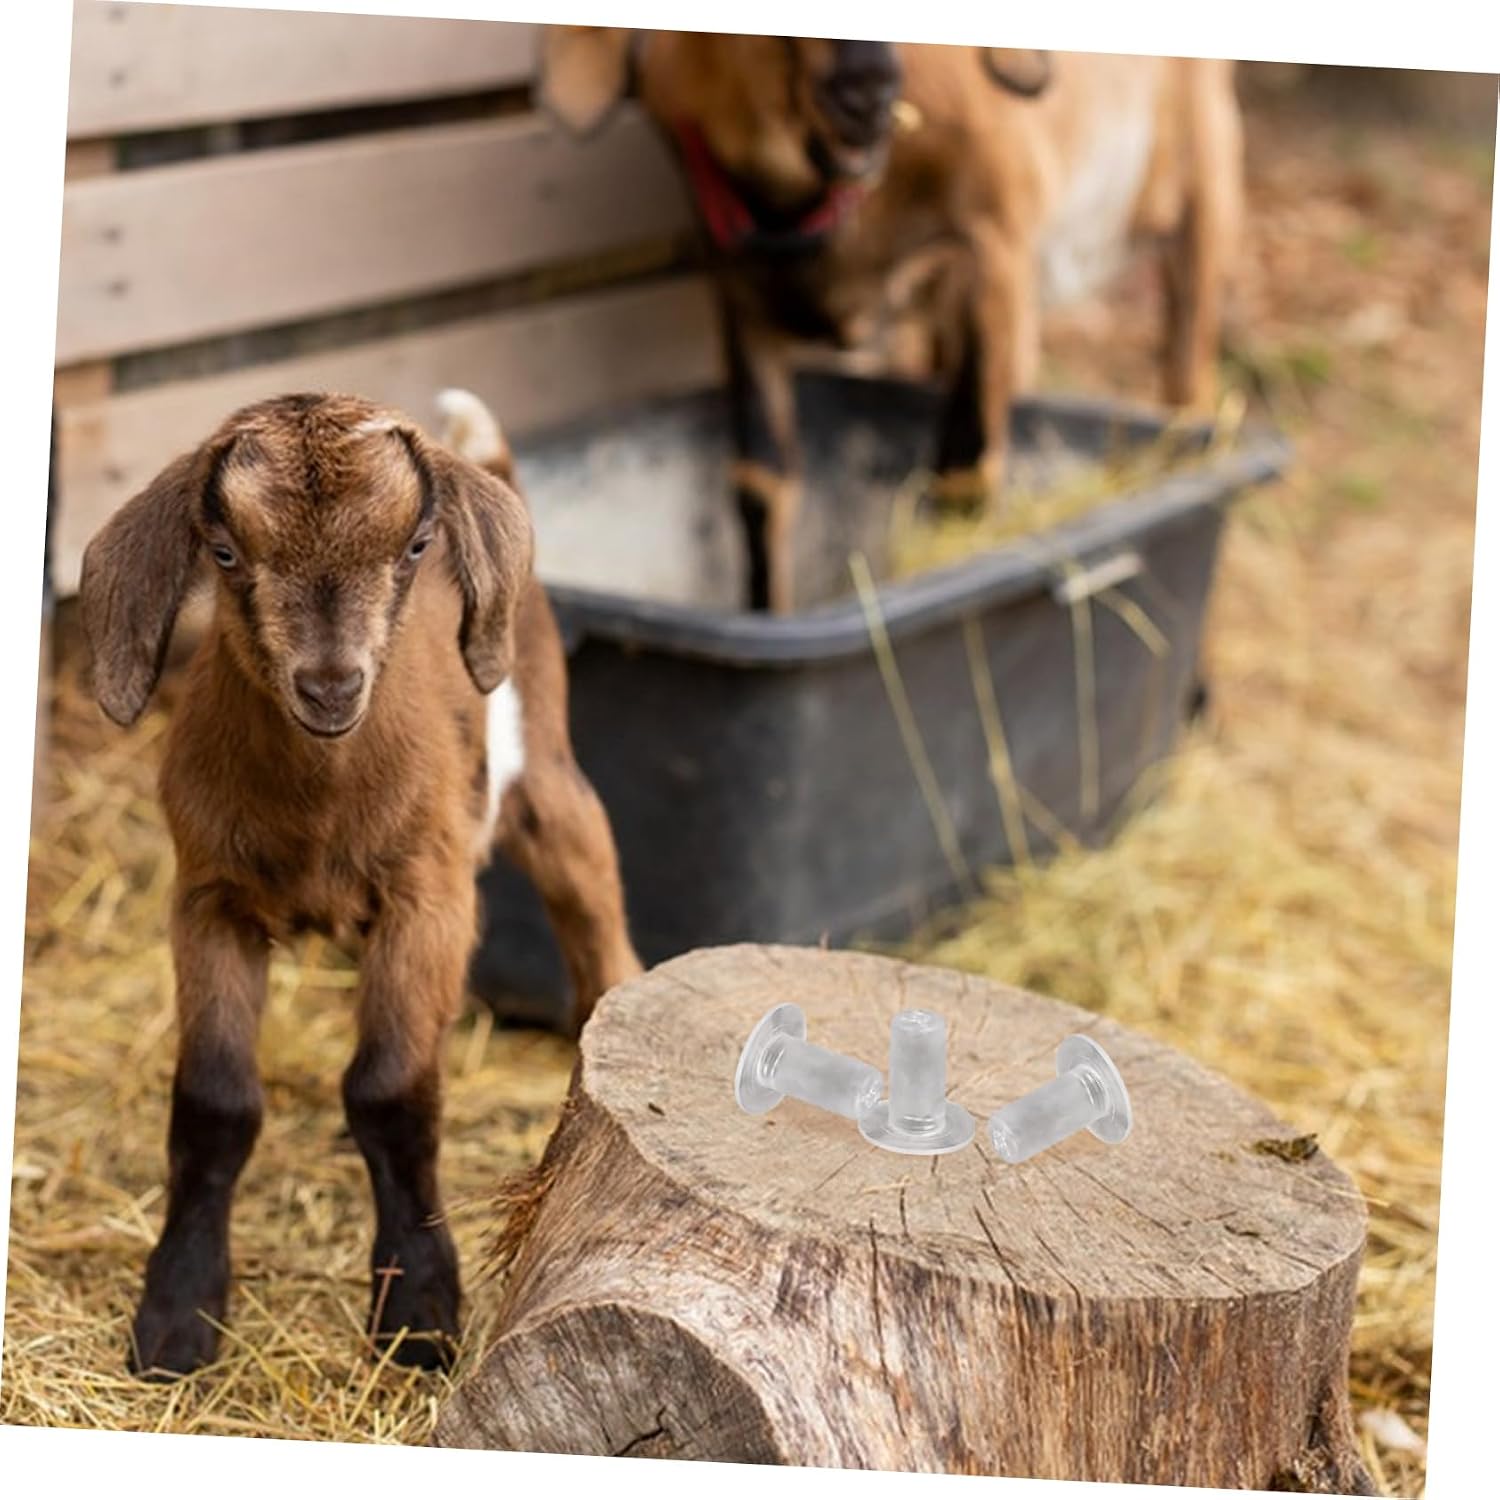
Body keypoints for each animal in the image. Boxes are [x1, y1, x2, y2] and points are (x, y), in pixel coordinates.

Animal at [79, 388, 641, 1379]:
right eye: (224, 552)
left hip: (547, 779)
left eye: (414, 545)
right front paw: (177, 1317)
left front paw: (418, 1313)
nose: (331, 686)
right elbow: (215, 1101)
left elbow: (391, 1089)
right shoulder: (208, 900)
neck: (320, 808)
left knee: (597, 926)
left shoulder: (430, 897)